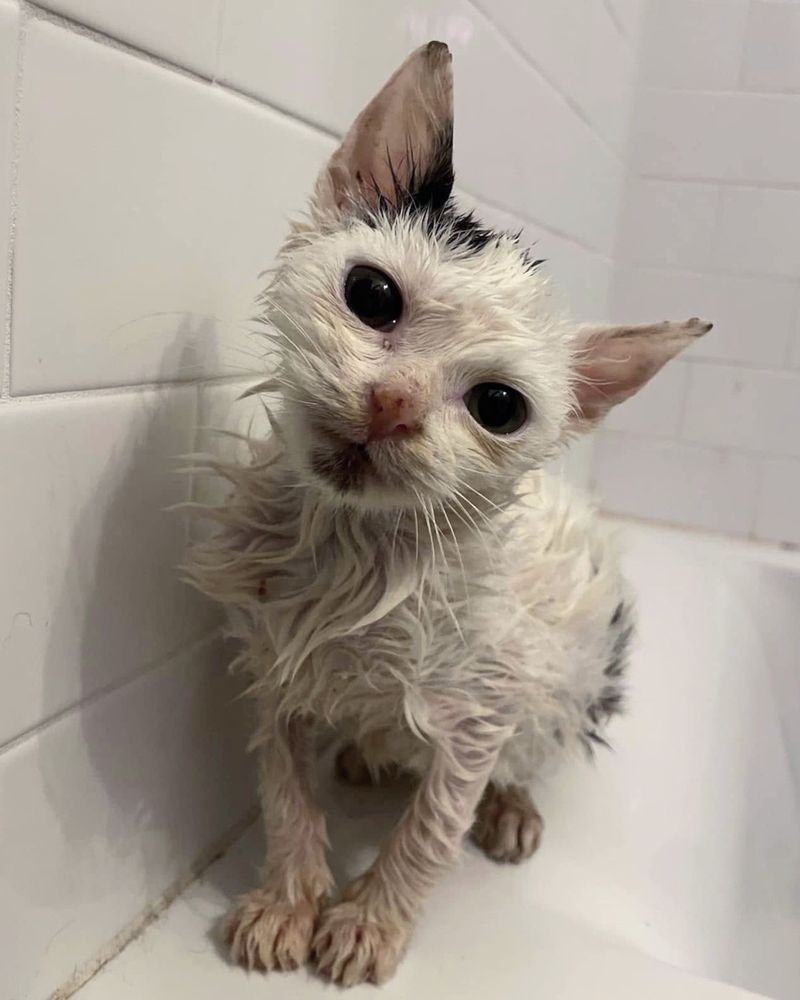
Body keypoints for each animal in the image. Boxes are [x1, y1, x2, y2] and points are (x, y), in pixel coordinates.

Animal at [189, 43, 712, 988]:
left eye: (498, 406)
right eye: (371, 295)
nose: (393, 402)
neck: (355, 557)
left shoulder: (479, 713)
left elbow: (430, 831)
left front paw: (369, 922)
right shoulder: (274, 665)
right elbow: (283, 790)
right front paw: (288, 897)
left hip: (573, 675)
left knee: (533, 744)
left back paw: (509, 808)